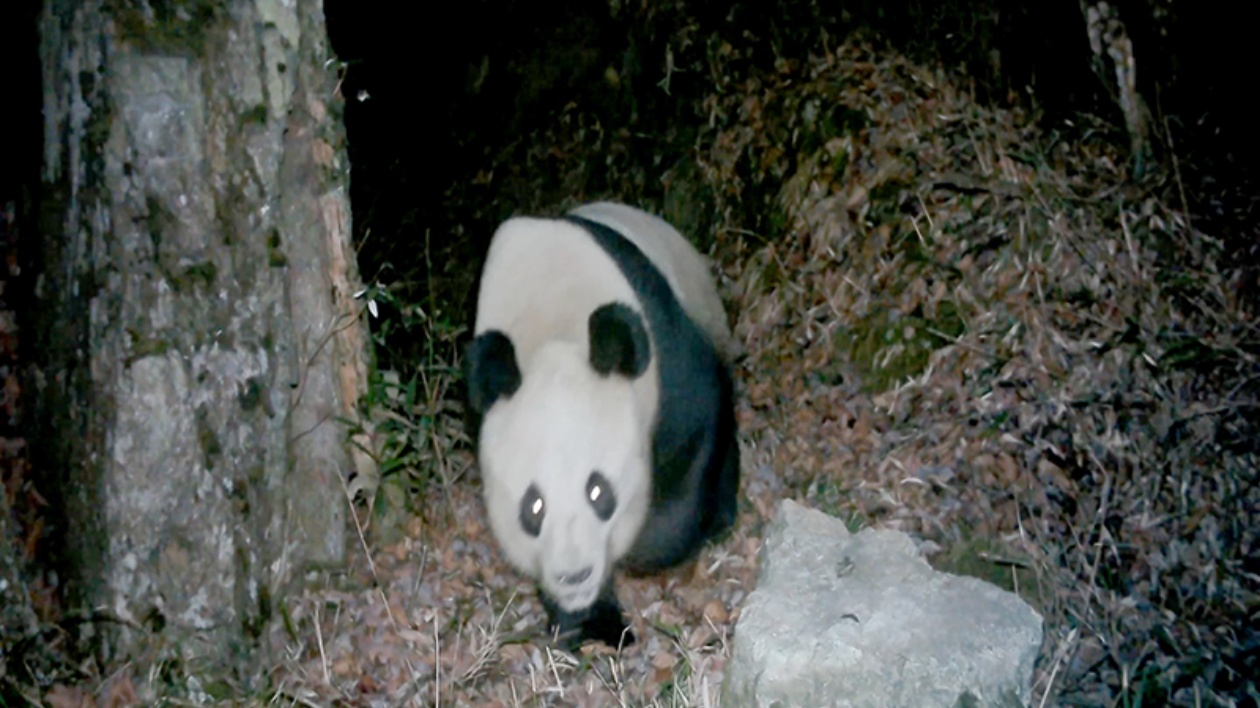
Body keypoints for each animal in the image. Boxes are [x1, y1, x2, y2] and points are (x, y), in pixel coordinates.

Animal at [463, 199, 735, 645]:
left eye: (598, 491)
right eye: (533, 507)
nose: (575, 575)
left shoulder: (665, 358)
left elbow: (692, 444)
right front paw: (589, 622)